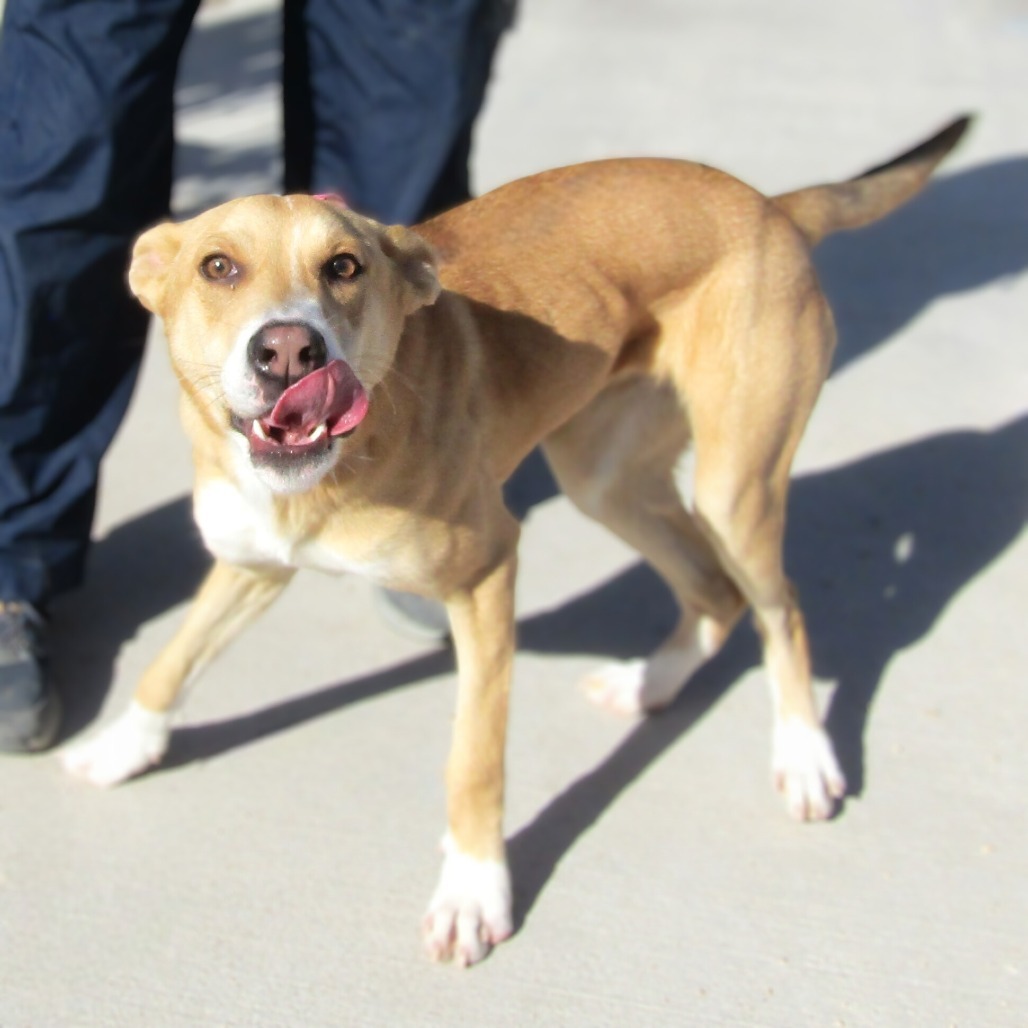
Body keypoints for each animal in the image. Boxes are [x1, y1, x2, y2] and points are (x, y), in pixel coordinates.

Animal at [62, 118, 970, 962]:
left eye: (345, 268)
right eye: (217, 267)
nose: (290, 349)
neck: (328, 475)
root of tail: (772, 206)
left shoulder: (488, 575)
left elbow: (475, 761)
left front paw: (473, 891)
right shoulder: (254, 564)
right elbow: (172, 659)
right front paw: (121, 745)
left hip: (735, 489)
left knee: (780, 609)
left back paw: (805, 755)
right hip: (603, 479)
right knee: (713, 592)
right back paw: (651, 684)